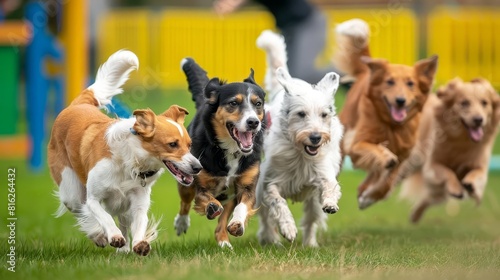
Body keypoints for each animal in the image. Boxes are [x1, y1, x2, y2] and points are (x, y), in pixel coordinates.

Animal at [47, 49, 202, 256]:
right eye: (172, 144)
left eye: (189, 145)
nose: (198, 167)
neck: (131, 163)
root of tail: (77, 105)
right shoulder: (93, 198)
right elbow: (103, 216)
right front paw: (113, 236)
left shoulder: (138, 202)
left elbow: (139, 223)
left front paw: (139, 243)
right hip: (71, 188)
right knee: (81, 210)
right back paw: (99, 236)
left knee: (121, 220)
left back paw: (124, 249)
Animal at [174, 58, 266, 248]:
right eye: (233, 103)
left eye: (258, 104)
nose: (253, 122)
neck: (231, 151)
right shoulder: (201, 184)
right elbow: (206, 199)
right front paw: (211, 207)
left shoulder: (247, 185)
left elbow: (243, 205)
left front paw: (237, 224)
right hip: (187, 179)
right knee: (185, 201)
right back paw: (182, 223)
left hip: (229, 195)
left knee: (221, 222)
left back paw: (224, 241)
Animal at [256, 29, 342, 246]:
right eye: (301, 114)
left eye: (324, 115)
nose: (315, 137)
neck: (301, 155)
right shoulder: (269, 182)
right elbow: (277, 201)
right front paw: (288, 229)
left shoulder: (321, 171)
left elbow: (329, 185)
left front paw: (330, 202)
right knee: (265, 218)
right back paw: (271, 239)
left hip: (312, 202)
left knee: (311, 219)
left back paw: (309, 244)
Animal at [336, 18, 438, 209]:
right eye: (389, 82)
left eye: (410, 84)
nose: (400, 100)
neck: (392, 126)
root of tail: (368, 69)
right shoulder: (357, 144)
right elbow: (376, 153)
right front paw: (385, 156)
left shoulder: (404, 156)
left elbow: (387, 183)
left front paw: (368, 197)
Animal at [394, 77, 500, 222]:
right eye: (464, 103)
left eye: (485, 103)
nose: (478, 119)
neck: (462, 141)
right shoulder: (432, 165)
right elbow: (447, 171)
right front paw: (456, 187)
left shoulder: (480, 164)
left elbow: (478, 174)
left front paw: (472, 186)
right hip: (410, 163)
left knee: (430, 199)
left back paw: (415, 215)